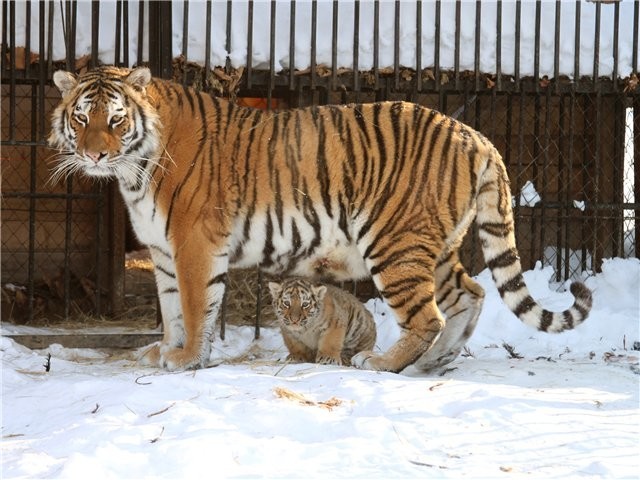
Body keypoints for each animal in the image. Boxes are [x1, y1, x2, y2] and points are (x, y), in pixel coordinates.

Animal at [47, 66, 592, 372]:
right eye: (81, 117)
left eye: (116, 119)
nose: (95, 155)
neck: (134, 170)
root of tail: (475, 135)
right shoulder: (162, 251)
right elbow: (171, 309)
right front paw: (167, 351)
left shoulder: (193, 244)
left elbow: (197, 305)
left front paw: (185, 361)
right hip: (434, 248)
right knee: (471, 294)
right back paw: (435, 364)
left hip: (394, 243)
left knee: (429, 315)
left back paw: (383, 363)